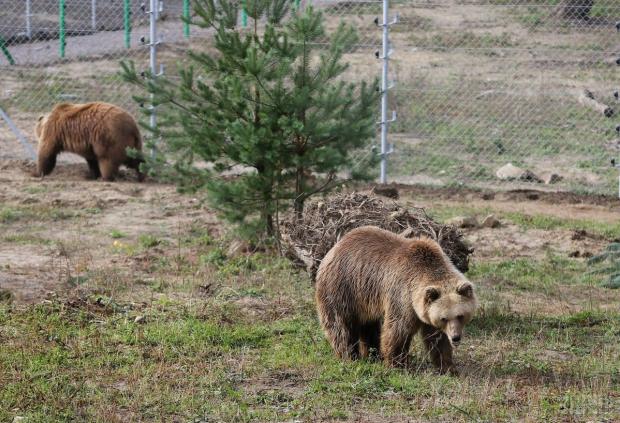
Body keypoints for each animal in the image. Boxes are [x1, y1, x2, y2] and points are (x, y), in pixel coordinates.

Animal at [318, 225, 478, 374]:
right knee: (341, 325)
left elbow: (436, 339)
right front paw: (396, 364)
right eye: (444, 318)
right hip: (343, 288)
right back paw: (350, 356)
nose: (455, 337)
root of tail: (335, 246)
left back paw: (373, 354)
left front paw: (448, 367)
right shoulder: (402, 295)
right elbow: (397, 330)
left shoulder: (426, 308)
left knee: (369, 325)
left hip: (365, 299)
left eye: (460, 315)